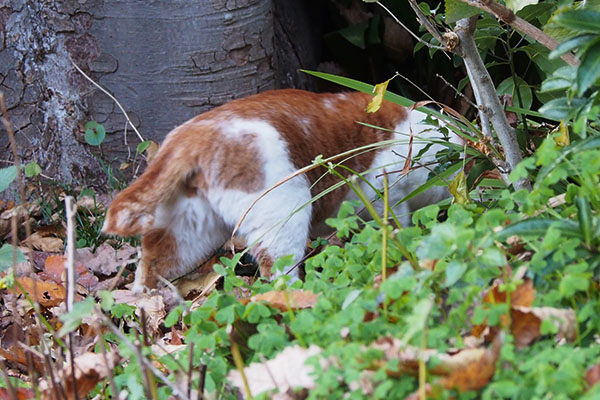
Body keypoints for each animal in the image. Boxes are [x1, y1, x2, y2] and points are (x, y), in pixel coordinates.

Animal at [102, 89, 454, 290]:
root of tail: (189, 137)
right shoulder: (385, 193)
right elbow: (396, 228)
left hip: (190, 232)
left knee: (152, 265)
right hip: (284, 210)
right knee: (278, 273)